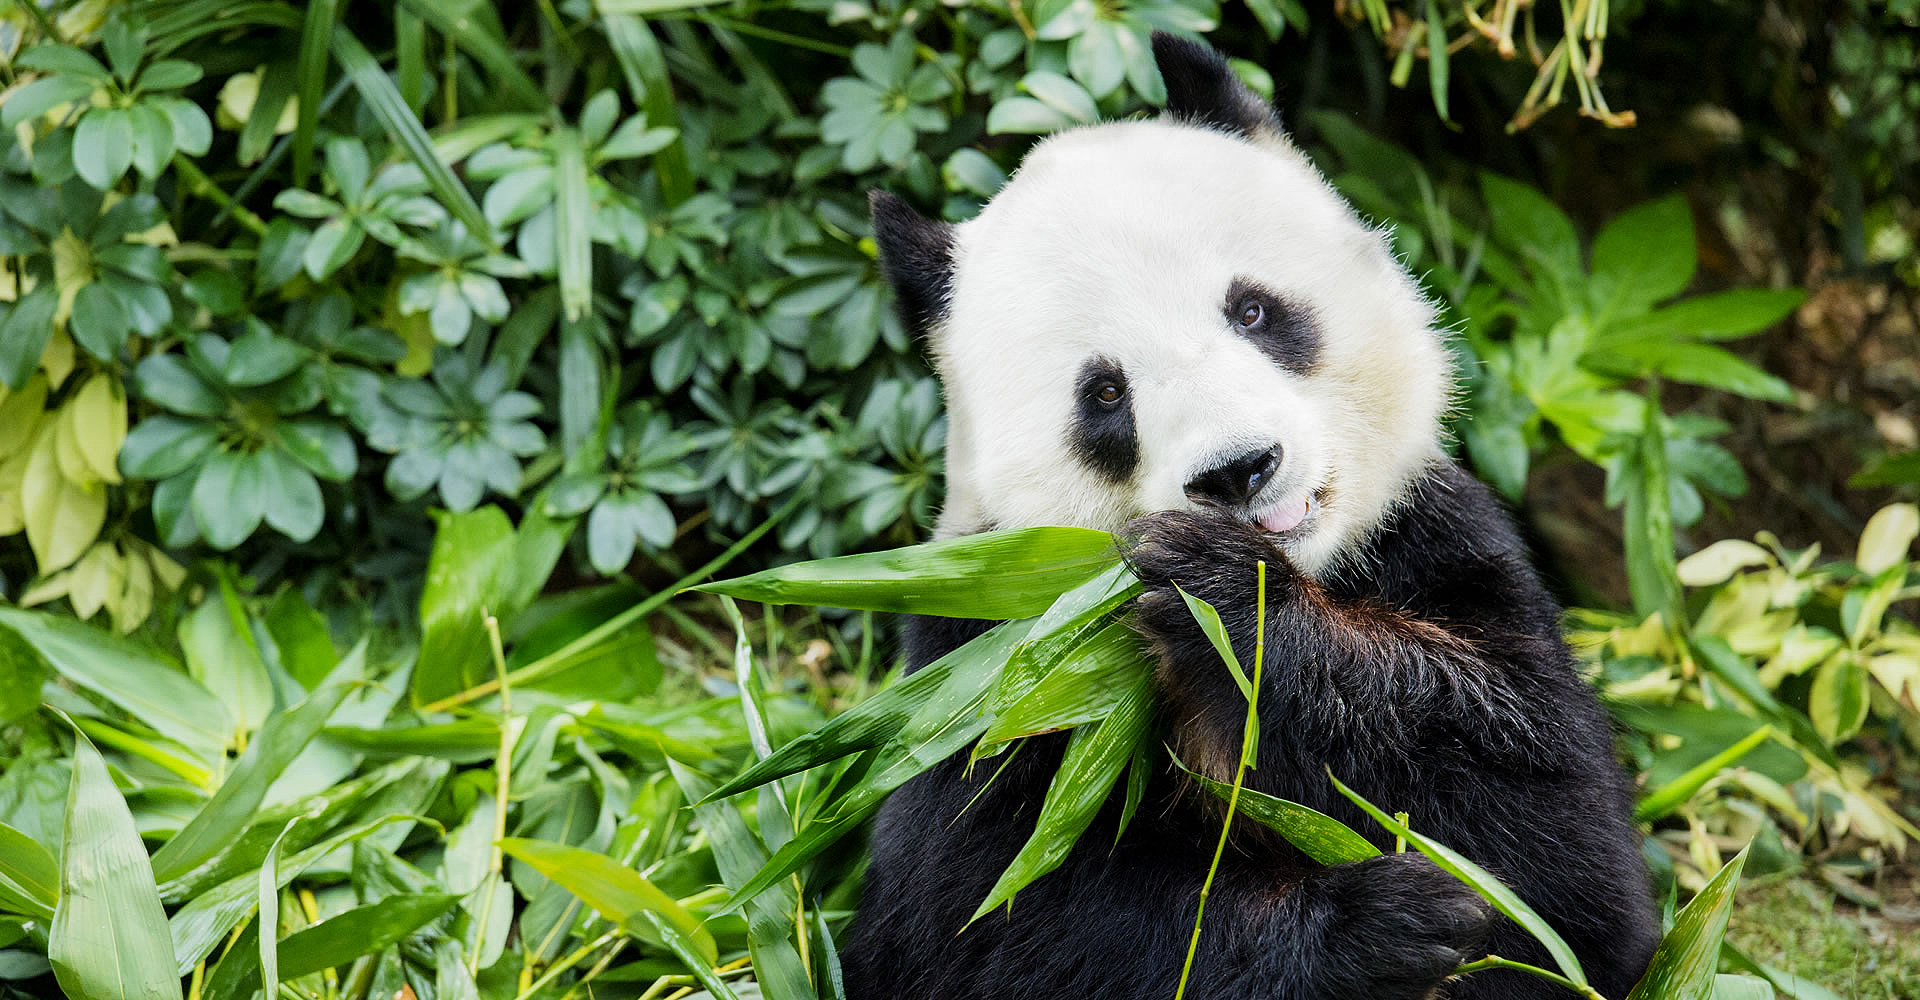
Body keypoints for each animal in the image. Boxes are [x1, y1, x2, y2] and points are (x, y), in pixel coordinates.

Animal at [848, 31, 1658, 998]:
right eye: (1105, 393)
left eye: (1254, 310)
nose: (1238, 471)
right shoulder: (989, 659)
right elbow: (981, 915)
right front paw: (1378, 927)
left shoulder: (1434, 545)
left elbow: (1557, 859)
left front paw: (1227, 600)